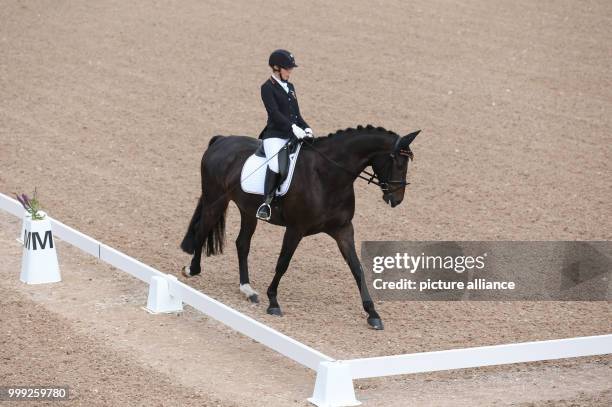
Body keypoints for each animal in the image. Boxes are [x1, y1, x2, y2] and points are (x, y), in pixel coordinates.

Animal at [180, 125, 420, 332]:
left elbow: (357, 268)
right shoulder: (296, 229)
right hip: (215, 200)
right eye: (398, 163)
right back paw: (192, 269)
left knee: (242, 243)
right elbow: (283, 263)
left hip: (247, 210)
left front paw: (373, 314)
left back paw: (247, 289)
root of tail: (221, 140)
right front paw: (273, 302)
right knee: (202, 229)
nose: (396, 199)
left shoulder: (343, 230)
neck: (327, 176)